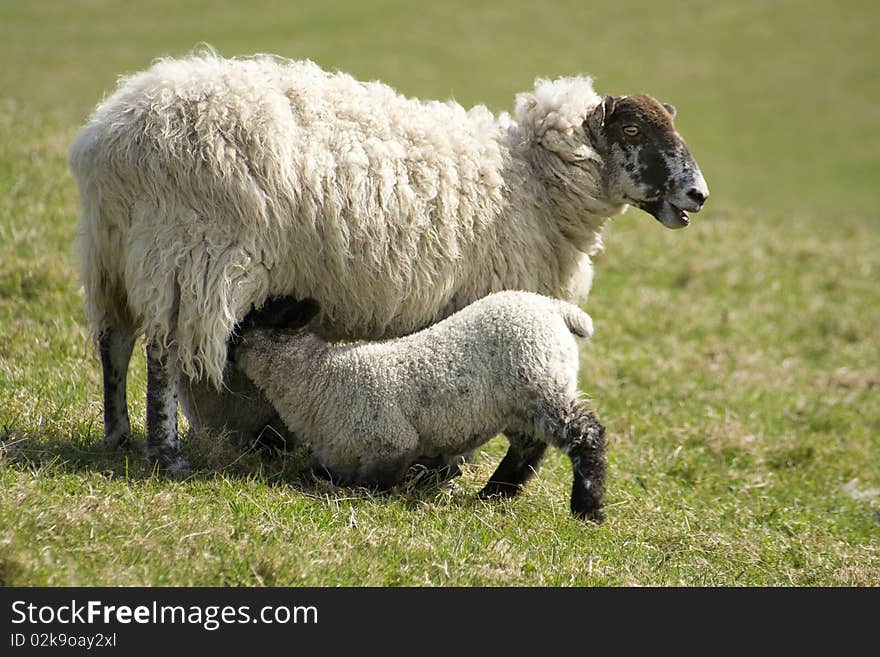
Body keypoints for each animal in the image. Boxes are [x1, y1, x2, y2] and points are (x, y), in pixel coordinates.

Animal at [69, 52, 708, 472]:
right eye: (632, 128)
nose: (698, 195)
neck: (533, 178)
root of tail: (110, 136)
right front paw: (451, 464)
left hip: (113, 258)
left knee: (113, 344)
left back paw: (117, 434)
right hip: (190, 254)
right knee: (163, 355)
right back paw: (164, 453)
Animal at [230, 290, 608, 520]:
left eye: (244, 324)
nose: (224, 351)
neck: (319, 380)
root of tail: (552, 307)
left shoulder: (391, 439)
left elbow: (373, 482)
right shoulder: (335, 454)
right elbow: (323, 474)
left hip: (540, 383)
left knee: (587, 434)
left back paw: (586, 509)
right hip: (521, 403)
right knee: (529, 447)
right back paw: (494, 494)